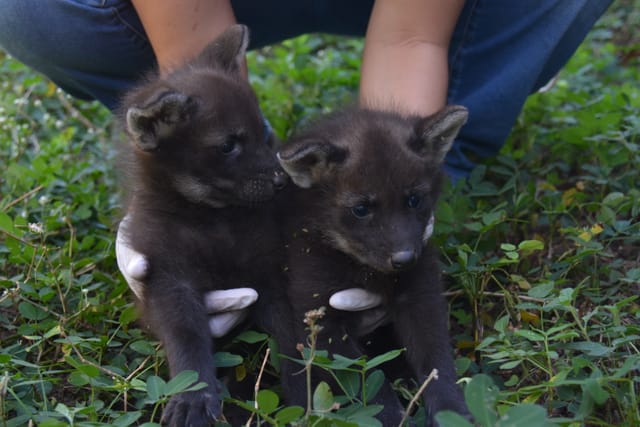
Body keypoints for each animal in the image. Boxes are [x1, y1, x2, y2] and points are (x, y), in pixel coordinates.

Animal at [117, 25, 291, 426]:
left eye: (263, 131)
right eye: (228, 145)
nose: (282, 182)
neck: (212, 218)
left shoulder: (270, 272)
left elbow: (295, 337)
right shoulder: (167, 278)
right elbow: (186, 336)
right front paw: (193, 395)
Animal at [277, 105, 470, 425]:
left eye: (414, 199)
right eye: (361, 209)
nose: (405, 259)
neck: (363, 269)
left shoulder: (421, 295)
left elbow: (436, 363)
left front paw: (452, 412)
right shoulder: (318, 314)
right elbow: (365, 379)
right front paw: (389, 416)